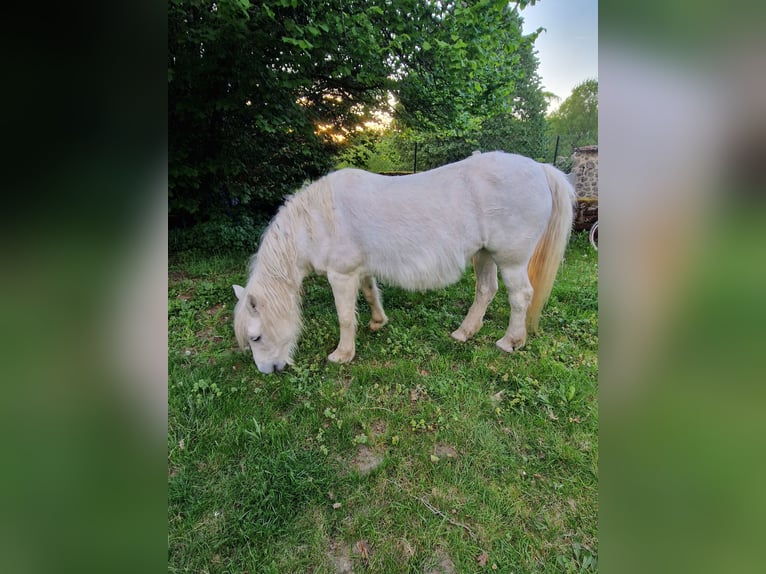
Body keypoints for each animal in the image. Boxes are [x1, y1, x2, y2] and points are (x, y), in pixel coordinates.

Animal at [233, 151, 575, 374]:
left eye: (256, 337)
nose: (268, 370)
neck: (316, 220)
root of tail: (540, 168)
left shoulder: (341, 274)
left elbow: (344, 317)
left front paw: (342, 354)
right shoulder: (361, 269)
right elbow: (370, 293)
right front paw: (377, 322)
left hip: (511, 260)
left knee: (520, 297)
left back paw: (510, 341)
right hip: (485, 254)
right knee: (486, 291)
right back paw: (464, 333)